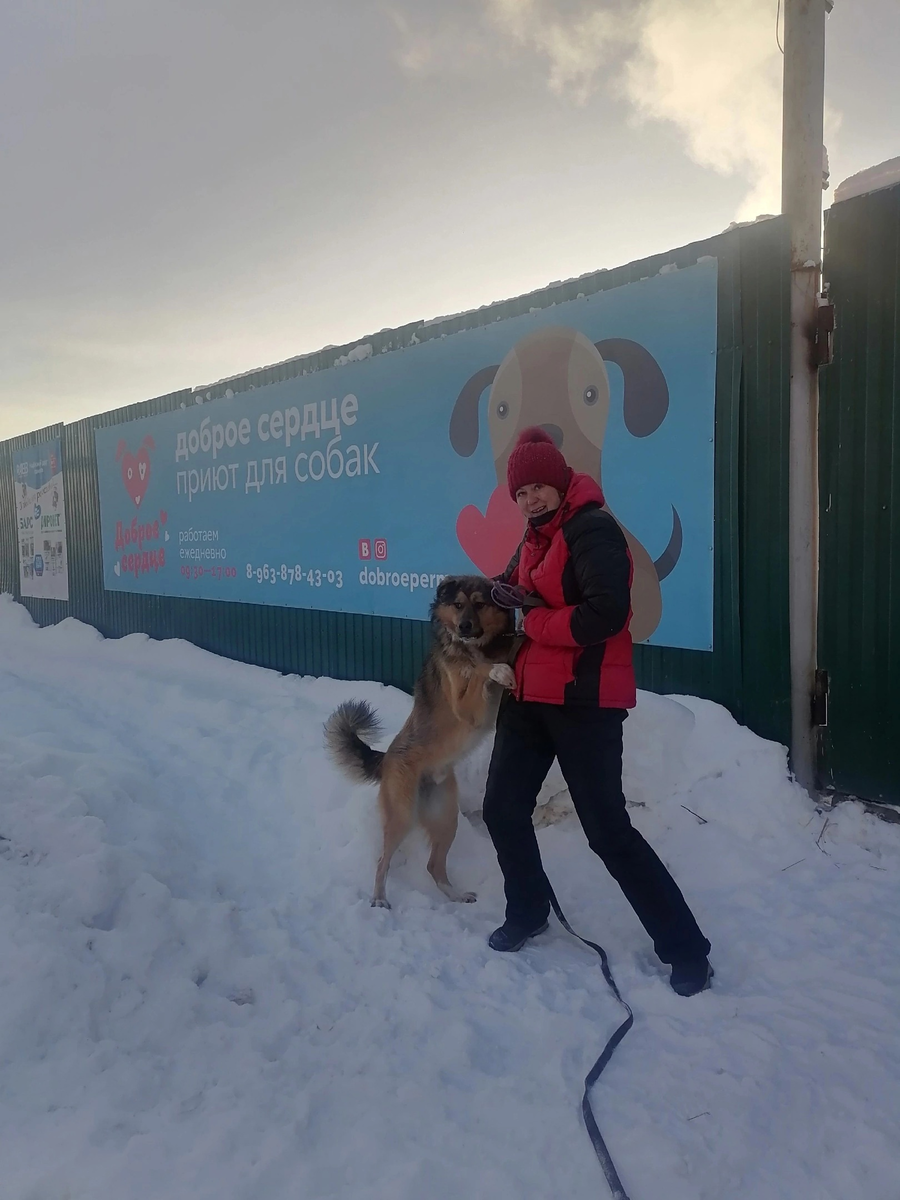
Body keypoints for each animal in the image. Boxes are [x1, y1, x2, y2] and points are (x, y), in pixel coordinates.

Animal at [328, 576, 518, 902]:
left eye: (480, 604)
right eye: (458, 604)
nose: (464, 627)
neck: (475, 646)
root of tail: (386, 759)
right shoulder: (466, 707)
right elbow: (480, 671)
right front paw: (495, 669)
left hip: (446, 818)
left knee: (434, 866)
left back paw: (456, 896)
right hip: (403, 815)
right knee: (383, 860)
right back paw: (379, 899)